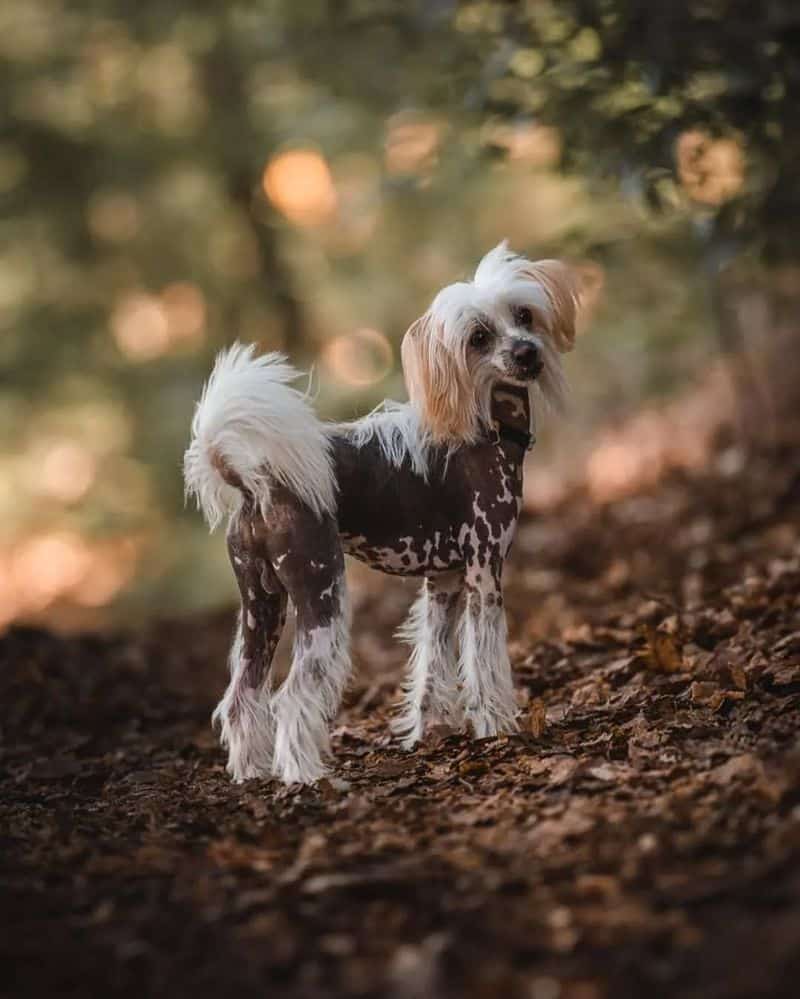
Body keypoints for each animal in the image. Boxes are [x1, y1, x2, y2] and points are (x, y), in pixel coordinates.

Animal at [184, 240, 580, 780]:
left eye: (524, 315)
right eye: (478, 337)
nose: (526, 352)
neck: (485, 428)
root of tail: (253, 481)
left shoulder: (444, 583)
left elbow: (433, 665)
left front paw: (430, 731)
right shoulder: (484, 574)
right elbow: (484, 661)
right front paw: (497, 726)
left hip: (261, 607)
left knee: (242, 697)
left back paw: (251, 774)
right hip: (321, 596)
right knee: (290, 697)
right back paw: (304, 776)